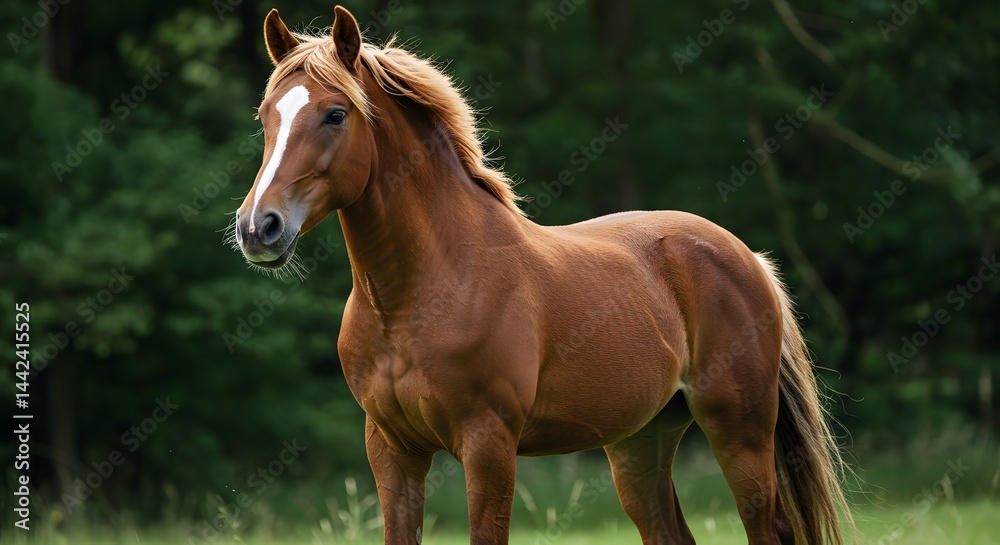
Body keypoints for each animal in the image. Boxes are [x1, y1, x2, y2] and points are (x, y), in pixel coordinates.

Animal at [231, 5, 855, 544]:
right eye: (265, 118)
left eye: (335, 114)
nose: (259, 227)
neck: (416, 297)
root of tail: (749, 259)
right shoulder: (391, 449)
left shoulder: (488, 444)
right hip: (641, 441)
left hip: (739, 432)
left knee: (767, 529)